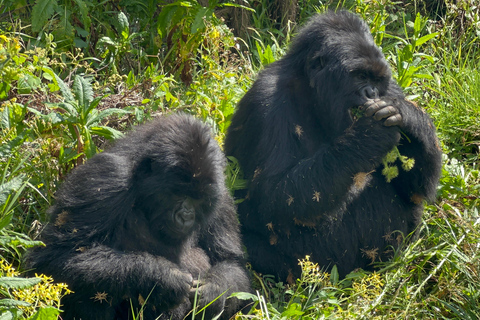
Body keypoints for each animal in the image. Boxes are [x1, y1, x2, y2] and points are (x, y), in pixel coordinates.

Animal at [27, 114, 251, 320]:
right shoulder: (106, 175)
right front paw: (161, 277)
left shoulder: (222, 195)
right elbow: (56, 256)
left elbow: (231, 262)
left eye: (199, 199)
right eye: (177, 193)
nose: (186, 216)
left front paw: (214, 291)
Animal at [225, 10, 442, 280]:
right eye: (360, 76)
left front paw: (409, 117)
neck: (313, 93)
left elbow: (414, 189)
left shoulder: (391, 89)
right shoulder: (267, 102)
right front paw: (369, 136)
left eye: (376, 79)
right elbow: (273, 200)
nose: (371, 93)